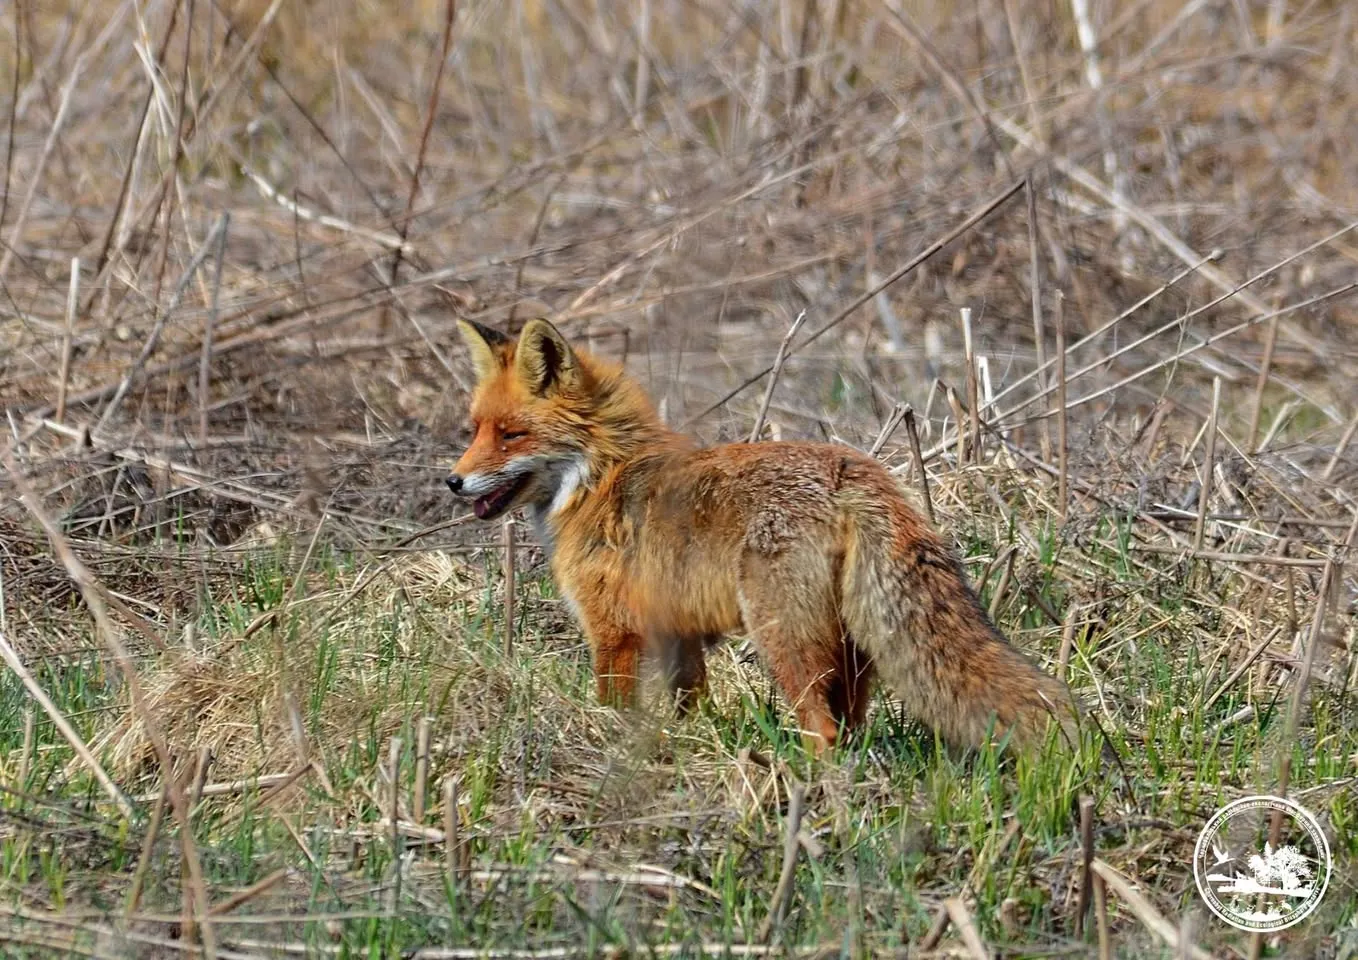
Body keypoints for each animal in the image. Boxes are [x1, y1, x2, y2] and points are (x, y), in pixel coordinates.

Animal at [447, 317, 1080, 755]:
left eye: (511, 435)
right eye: (474, 429)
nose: (453, 481)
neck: (602, 473)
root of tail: (851, 471)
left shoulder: (614, 632)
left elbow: (615, 707)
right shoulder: (678, 633)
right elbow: (689, 704)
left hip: (783, 640)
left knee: (823, 730)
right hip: (852, 651)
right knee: (851, 727)